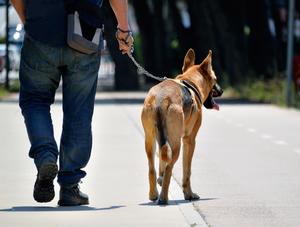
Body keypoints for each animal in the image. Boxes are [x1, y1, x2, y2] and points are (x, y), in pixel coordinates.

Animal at [141, 48, 223, 204]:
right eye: (215, 79)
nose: (221, 90)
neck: (190, 81)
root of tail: (160, 98)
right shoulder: (189, 140)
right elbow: (187, 171)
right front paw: (188, 194)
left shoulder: (161, 140)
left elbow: (161, 164)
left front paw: (160, 180)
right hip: (176, 145)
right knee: (169, 168)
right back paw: (163, 198)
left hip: (150, 141)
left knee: (151, 167)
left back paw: (154, 194)